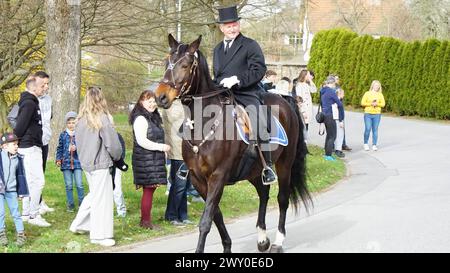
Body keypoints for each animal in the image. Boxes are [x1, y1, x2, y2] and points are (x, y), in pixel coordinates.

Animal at [153, 34, 312, 253]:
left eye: (185, 65)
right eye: (166, 63)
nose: (160, 97)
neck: (204, 122)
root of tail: (285, 100)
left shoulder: (218, 176)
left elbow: (206, 220)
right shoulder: (198, 179)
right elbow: (216, 215)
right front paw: (227, 246)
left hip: (284, 165)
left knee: (282, 199)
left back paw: (278, 242)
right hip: (254, 170)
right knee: (263, 195)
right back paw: (262, 239)